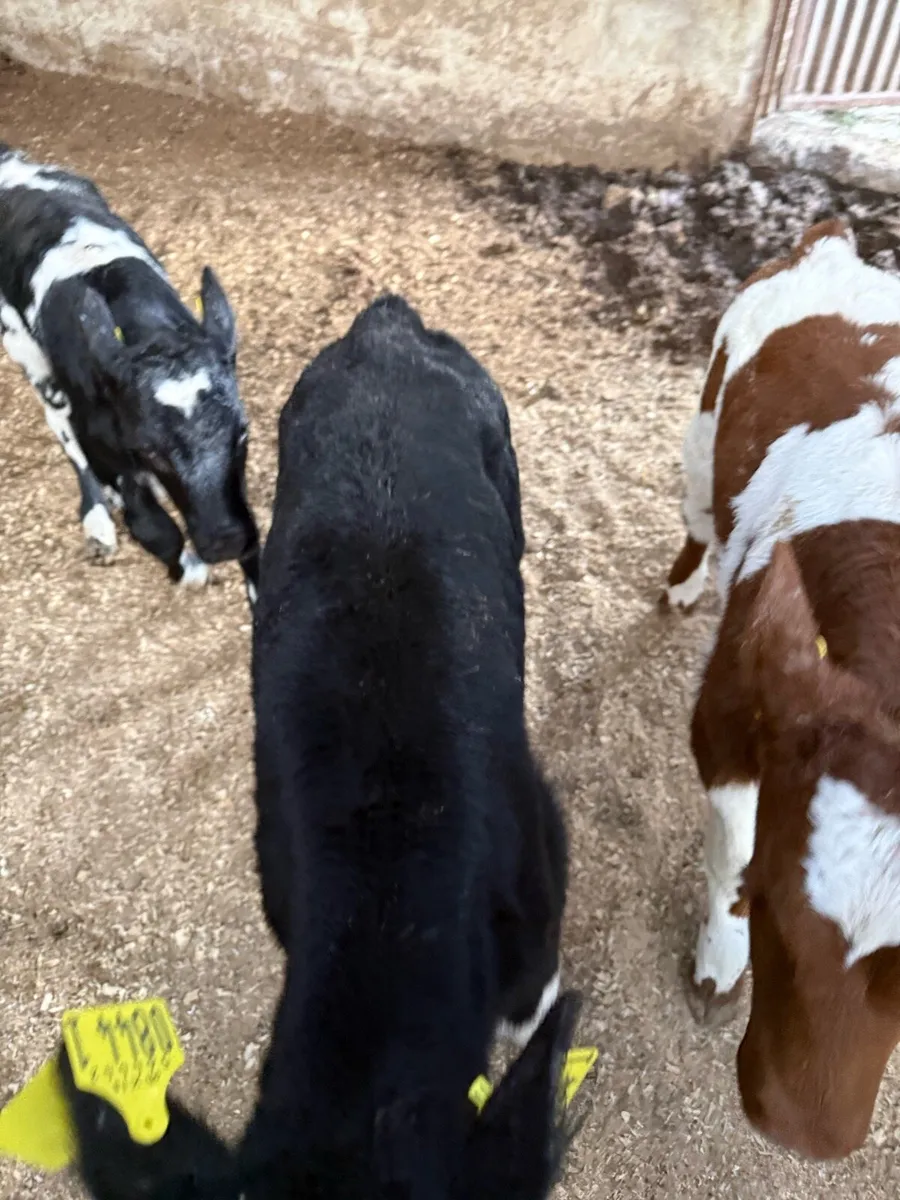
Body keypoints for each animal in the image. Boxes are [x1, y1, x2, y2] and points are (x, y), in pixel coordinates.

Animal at [0, 144, 259, 600]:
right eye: (150, 447)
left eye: (242, 432)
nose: (224, 538)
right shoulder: (98, 440)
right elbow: (154, 529)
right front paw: (186, 567)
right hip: (25, 351)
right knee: (60, 428)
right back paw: (99, 523)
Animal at [664, 218, 900, 1159]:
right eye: (774, 915)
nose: (806, 1132)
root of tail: (830, 243)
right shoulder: (727, 714)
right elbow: (730, 847)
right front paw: (716, 970)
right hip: (703, 434)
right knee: (697, 520)